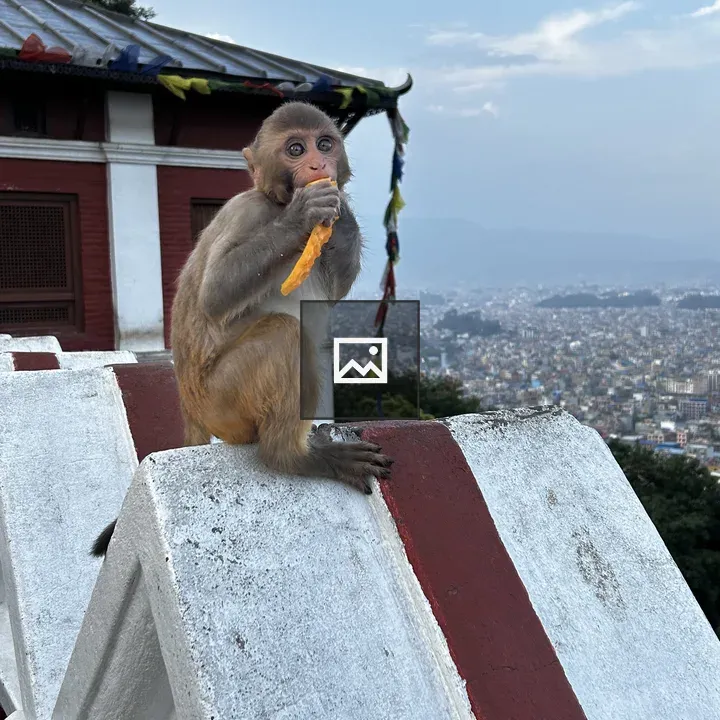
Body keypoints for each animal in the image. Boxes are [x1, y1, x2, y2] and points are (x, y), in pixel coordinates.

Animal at [91, 102, 392, 558]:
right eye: (296, 149)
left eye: (324, 144)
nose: (318, 165)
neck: (277, 202)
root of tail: (190, 406)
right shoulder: (246, 211)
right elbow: (216, 293)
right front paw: (304, 213)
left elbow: (335, 289)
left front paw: (339, 210)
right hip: (221, 401)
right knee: (285, 335)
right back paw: (291, 456)